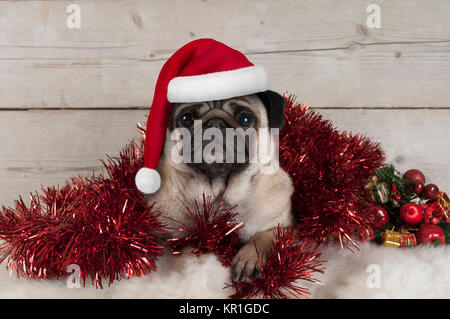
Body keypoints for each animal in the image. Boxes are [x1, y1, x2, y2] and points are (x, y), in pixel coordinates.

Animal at [149, 90, 294, 282]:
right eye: (186, 118)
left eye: (245, 119)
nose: (215, 122)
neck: (218, 194)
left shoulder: (283, 225)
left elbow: (266, 236)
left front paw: (249, 258)